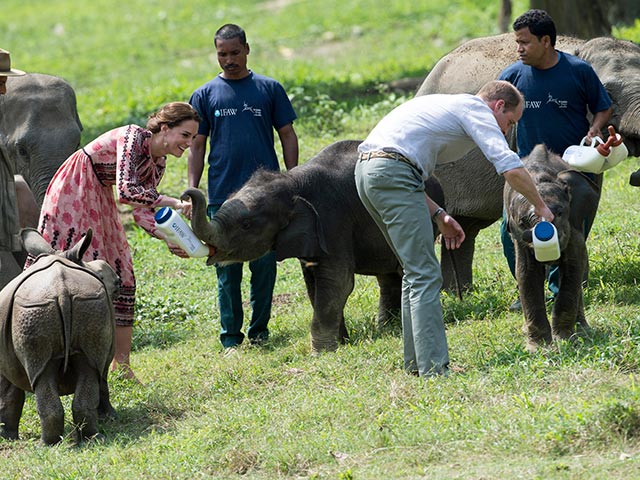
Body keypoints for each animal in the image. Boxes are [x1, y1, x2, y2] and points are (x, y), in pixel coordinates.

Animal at [0, 227, 119, 444]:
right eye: (115, 284)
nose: (118, 281)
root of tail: (62, 290)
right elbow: (102, 381)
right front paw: (109, 417)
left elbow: (8, 393)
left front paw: (6, 437)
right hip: (75, 304)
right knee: (86, 371)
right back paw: (90, 438)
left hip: (38, 308)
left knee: (45, 374)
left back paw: (49, 444)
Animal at [504, 144, 600, 350]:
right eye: (523, 222)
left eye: (560, 212)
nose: (542, 232)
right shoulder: (518, 238)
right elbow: (526, 273)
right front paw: (539, 348)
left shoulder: (572, 226)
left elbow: (573, 266)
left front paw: (564, 339)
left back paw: (583, 329)